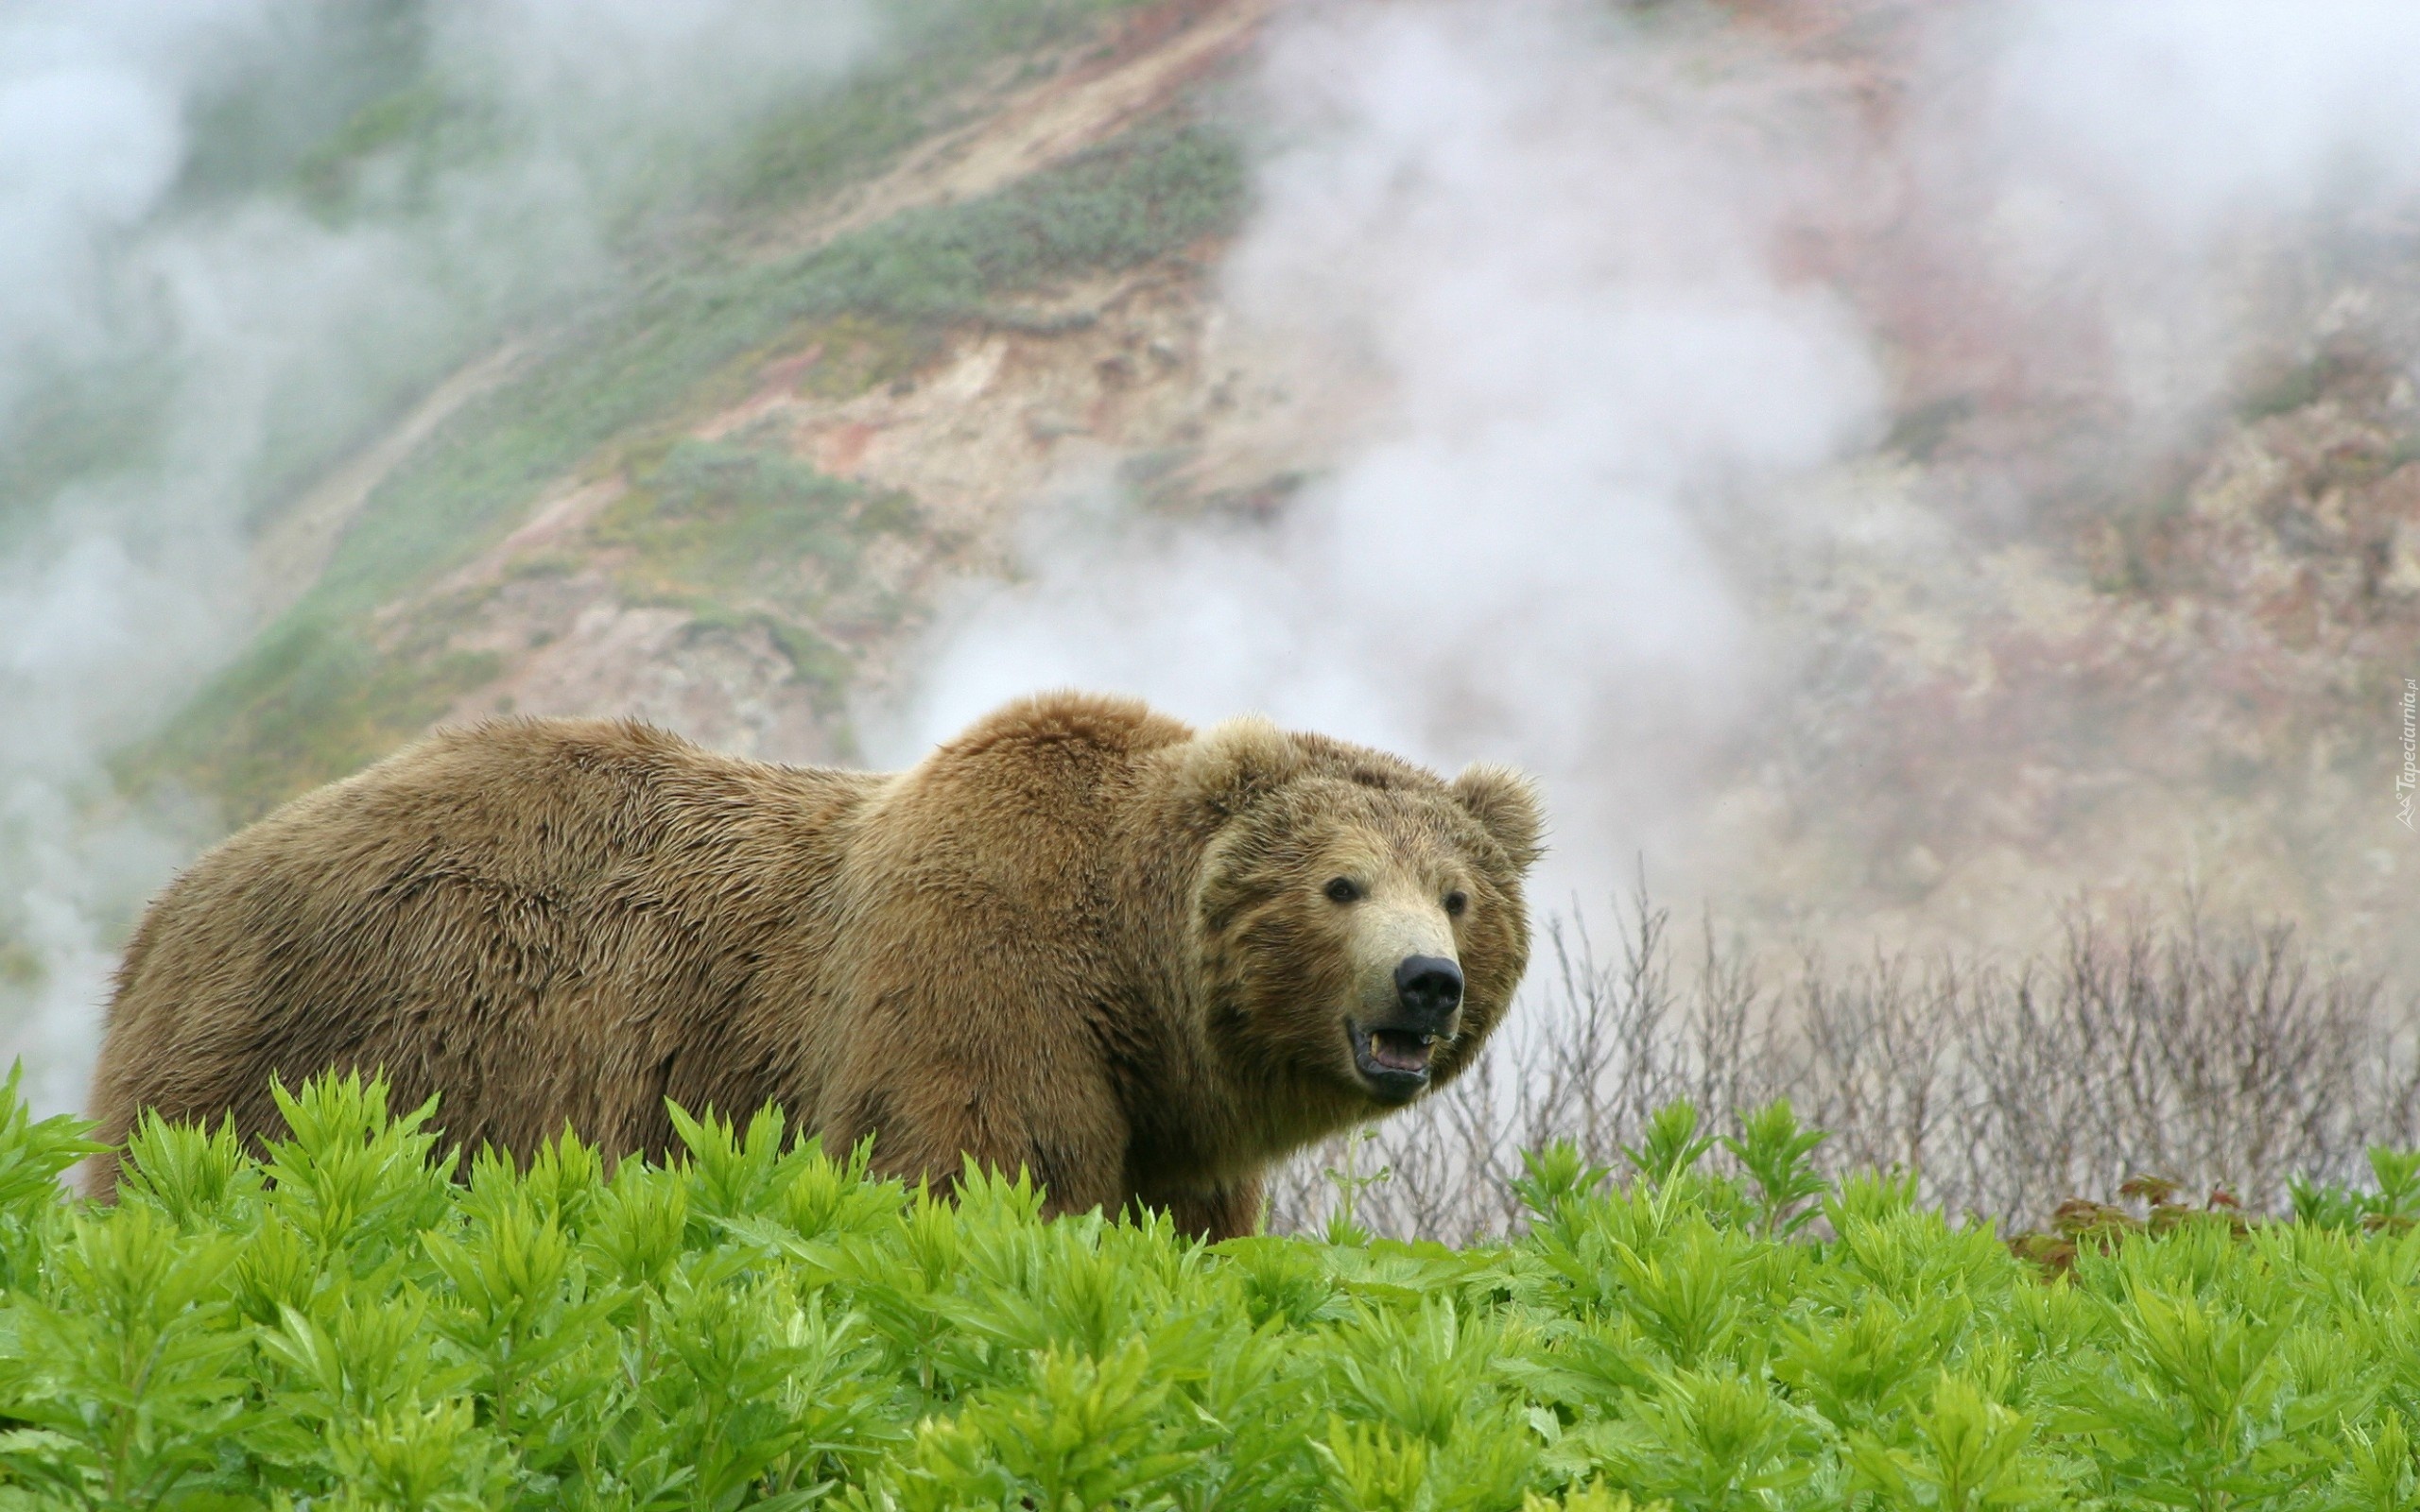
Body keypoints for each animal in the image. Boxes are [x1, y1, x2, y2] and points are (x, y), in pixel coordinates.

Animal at [89, 692, 1548, 1233]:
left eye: (1459, 895)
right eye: (1341, 882)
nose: (1425, 981)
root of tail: (166, 904)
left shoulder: (1167, 1133)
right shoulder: (977, 986)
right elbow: (964, 1181)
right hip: (320, 1054)